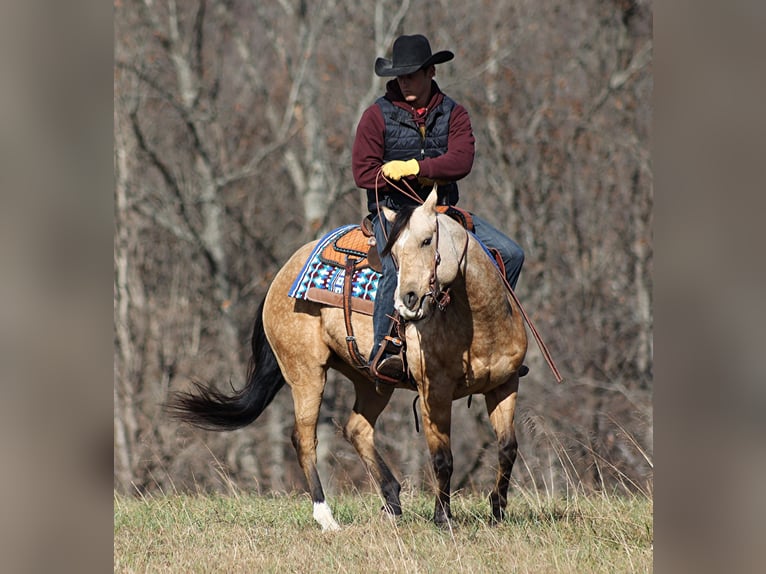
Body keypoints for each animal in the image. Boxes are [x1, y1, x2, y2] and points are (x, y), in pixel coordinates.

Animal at [167, 188, 528, 532]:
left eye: (428, 240)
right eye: (395, 253)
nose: (407, 300)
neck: (479, 321)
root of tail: (280, 277)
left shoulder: (505, 386)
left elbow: (507, 447)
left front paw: (497, 511)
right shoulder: (434, 392)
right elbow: (443, 457)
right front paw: (443, 518)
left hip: (371, 381)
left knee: (357, 429)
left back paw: (391, 501)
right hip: (307, 373)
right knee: (304, 439)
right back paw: (326, 517)